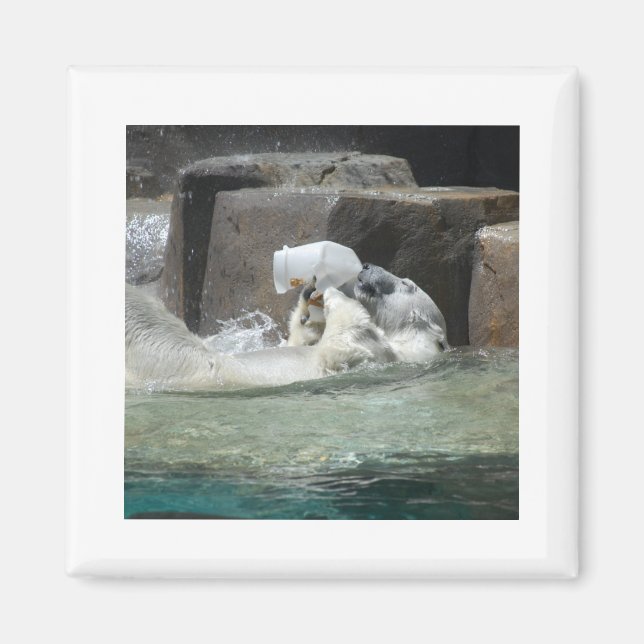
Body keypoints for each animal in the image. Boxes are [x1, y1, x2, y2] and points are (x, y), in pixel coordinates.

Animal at [287, 263, 449, 362]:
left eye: (405, 283)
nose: (366, 266)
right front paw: (308, 294)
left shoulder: (389, 355)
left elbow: (338, 347)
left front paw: (333, 292)